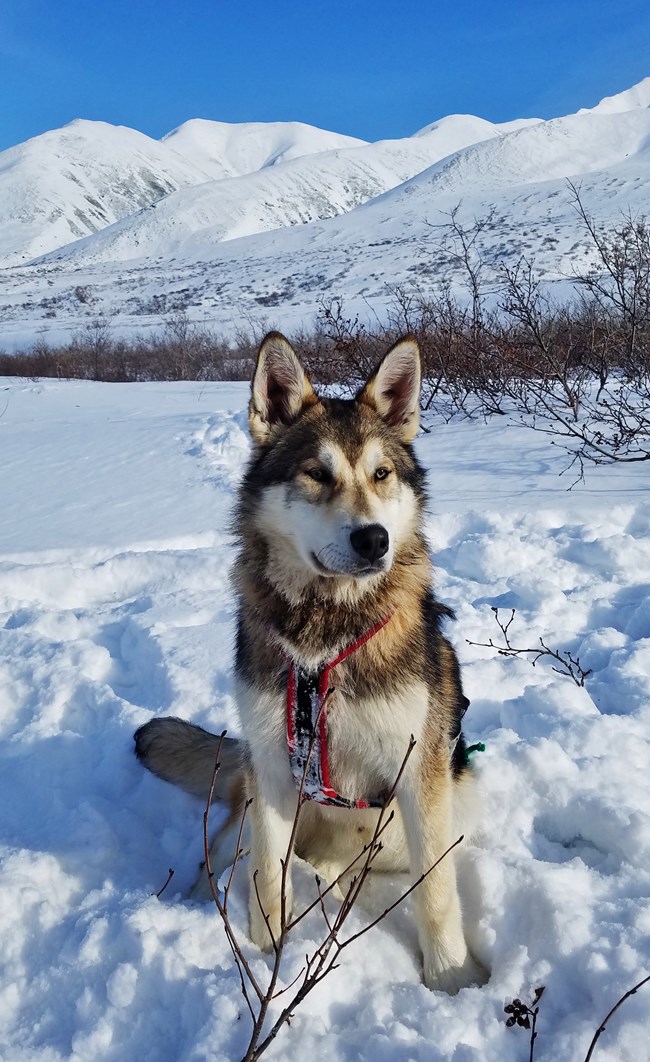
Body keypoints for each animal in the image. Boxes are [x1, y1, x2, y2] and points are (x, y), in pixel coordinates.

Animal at [135, 327, 482, 989]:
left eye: (381, 474)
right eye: (317, 474)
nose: (373, 539)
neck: (323, 635)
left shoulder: (419, 776)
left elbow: (436, 892)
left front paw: (452, 978)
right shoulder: (271, 767)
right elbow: (267, 875)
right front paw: (265, 955)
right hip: (248, 794)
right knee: (234, 856)